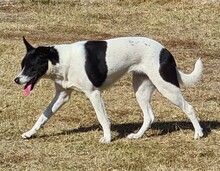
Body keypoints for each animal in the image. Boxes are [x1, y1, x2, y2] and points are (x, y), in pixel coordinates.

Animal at [14, 36, 204, 142]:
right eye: (22, 65)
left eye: (31, 67)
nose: (16, 80)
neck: (60, 59)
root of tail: (166, 51)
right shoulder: (62, 96)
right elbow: (43, 116)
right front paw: (29, 133)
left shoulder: (94, 94)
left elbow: (103, 119)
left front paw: (107, 138)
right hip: (141, 90)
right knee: (149, 116)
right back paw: (137, 136)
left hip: (167, 87)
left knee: (189, 108)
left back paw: (198, 133)